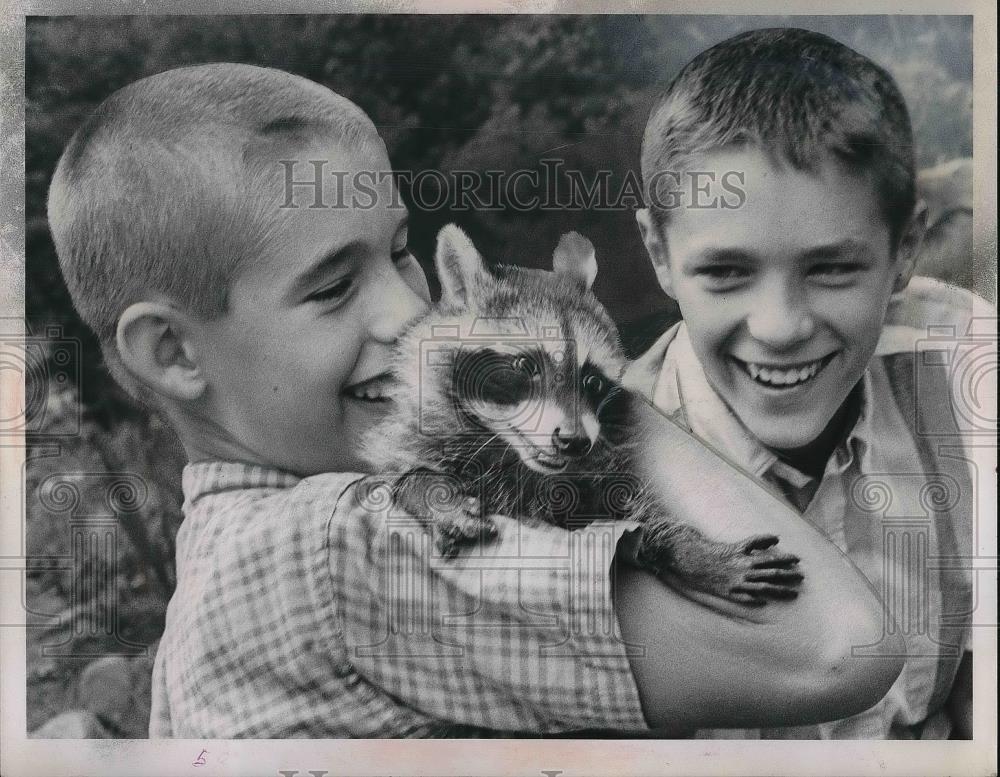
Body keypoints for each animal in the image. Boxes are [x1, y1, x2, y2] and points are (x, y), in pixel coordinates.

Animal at [364, 224, 800, 608]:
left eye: (591, 380)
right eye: (525, 365)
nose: (574, 441)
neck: (513, 457)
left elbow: (630, 513)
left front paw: (690, 552)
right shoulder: (422, 429)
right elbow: (396, 473)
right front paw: (431, 492)